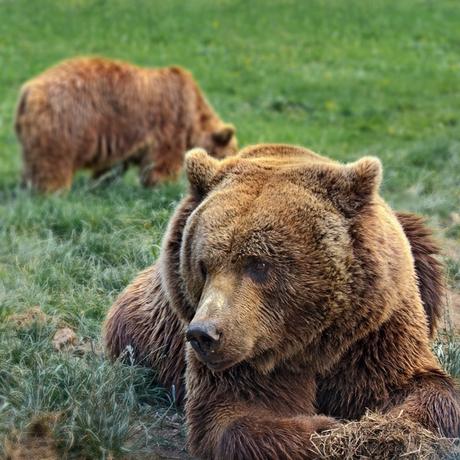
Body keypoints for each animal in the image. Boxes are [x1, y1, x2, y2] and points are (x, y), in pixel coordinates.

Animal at [14, 56, 237, 191]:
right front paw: (162, 185)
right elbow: (162, 160)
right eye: (231, 153)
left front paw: (102, 182)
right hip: (64, 122)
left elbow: (113, 166)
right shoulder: (170, 122)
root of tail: (28, 90)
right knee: (52, 162)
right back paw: (51, 191)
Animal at [104, 145, 460, 460]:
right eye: (203, 265)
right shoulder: (251, 347)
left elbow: (421, 387)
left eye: (259, 263)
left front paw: (384, 431)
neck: (312, 342)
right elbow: (236, 415)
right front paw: (328, 429)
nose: (204, 334)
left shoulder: (373, 332)